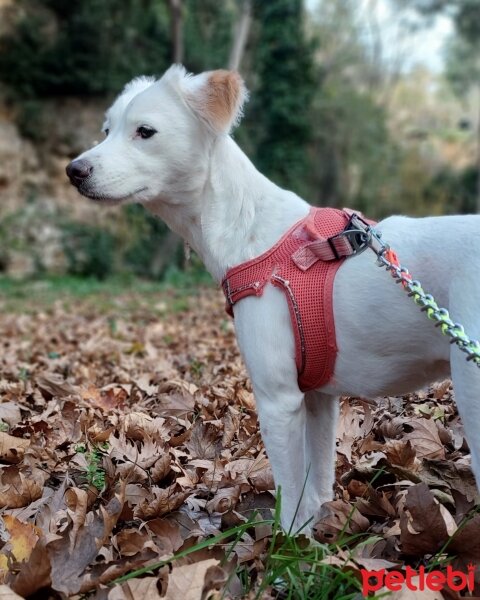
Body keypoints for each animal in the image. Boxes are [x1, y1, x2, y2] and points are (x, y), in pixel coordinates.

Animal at [64, 68, 480, 532]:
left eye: (145, 131)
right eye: (107, 130)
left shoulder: (278, 400)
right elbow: (317, 483)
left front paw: (288, 546)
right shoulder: (318, 398)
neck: (250, 228)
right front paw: (318, 534)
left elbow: (291, 495)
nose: (73, 170)